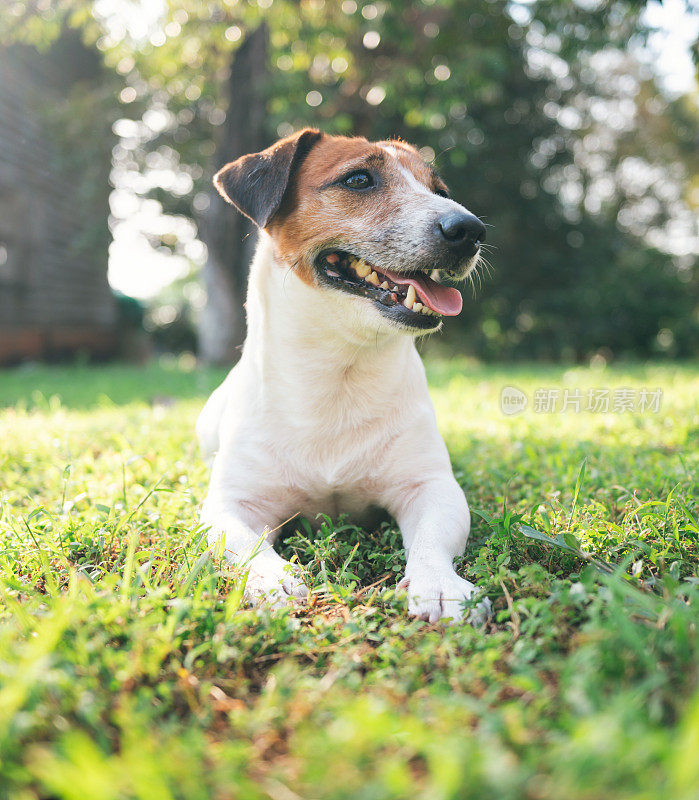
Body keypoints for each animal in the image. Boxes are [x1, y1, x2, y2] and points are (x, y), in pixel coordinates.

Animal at [197, 130, 490, 624]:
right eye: (358, 179)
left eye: (440, 191)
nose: (470, 229)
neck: (338, 369)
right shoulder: (232, 504)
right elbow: (244, 543)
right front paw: (273, 580)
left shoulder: (430, 487)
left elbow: (432, 539)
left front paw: (440, 586)